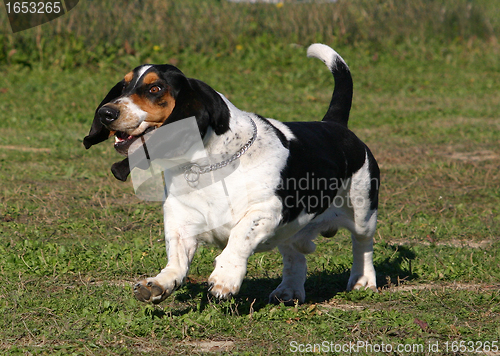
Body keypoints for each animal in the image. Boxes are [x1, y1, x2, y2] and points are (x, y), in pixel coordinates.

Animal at [84, 43, 378, 304]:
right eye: (124, 87)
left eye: (155, 88)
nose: (106, 112)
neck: (206, 166)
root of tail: (335, 124)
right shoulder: (180, 221)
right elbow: (177, 261)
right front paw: (158, 284)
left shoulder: (265, 210)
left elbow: (238, 238)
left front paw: (225, 280)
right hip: (291, 230)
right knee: (295, 257)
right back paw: (289, 291)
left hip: (363, 213)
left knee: (362, 245)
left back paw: (363, 281)